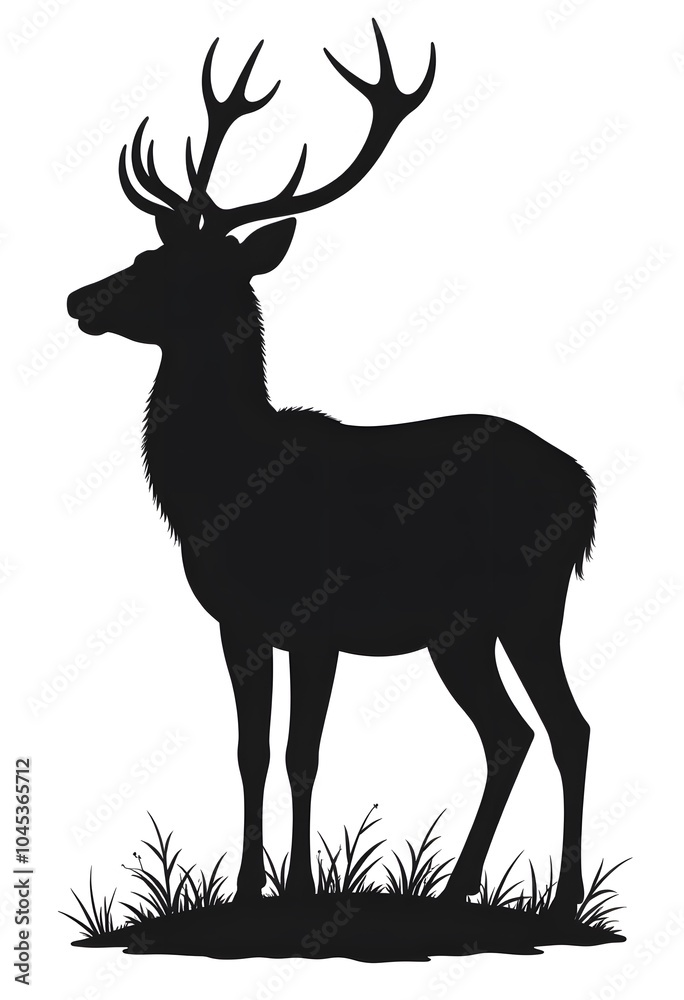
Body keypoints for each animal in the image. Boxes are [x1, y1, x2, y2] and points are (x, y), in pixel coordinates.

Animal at [67, 22, 596, 918]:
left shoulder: (319, 620)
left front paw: (303, 891)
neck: (227, 488)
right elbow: (250, 752)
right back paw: (458, 890)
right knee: (511, 731)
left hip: (528, 599)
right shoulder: (238, 624)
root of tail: (588, 493)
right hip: (462, 631)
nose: (77, 299)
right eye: (145, 253)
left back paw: (558, 902)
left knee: (566, 727)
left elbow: (301, 754)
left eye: (171, 269)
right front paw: (248, 891)